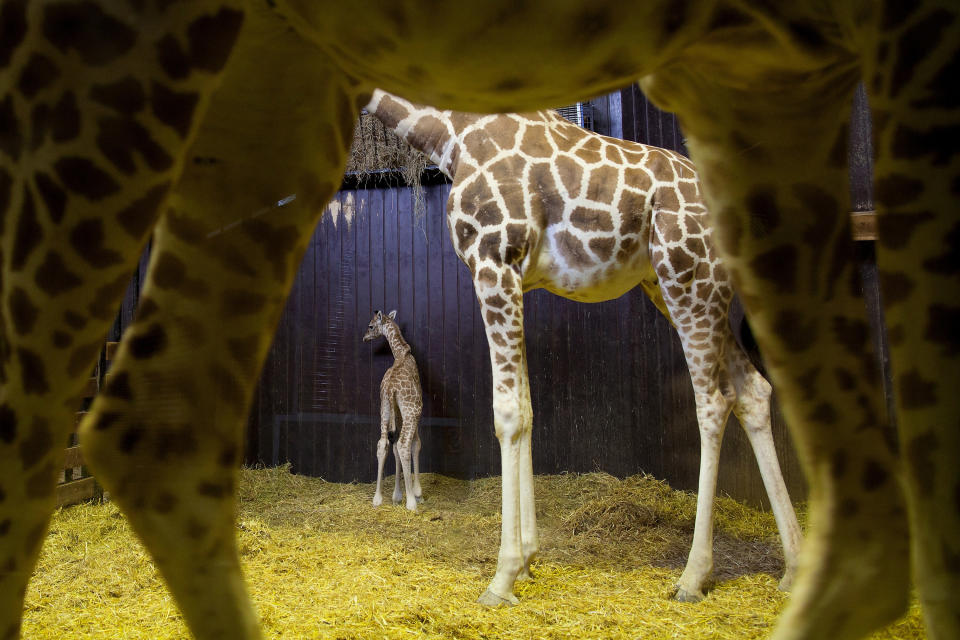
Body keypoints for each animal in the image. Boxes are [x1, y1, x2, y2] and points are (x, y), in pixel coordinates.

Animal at [364, 310, 424, 510]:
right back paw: (411, 502)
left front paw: (397, 495)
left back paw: (377, 498)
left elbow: (394, 447)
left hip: (384, 408)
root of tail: (391, 387)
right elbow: (415, 443)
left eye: (370, 326)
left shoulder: (396, 412)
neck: (402, 353)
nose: (364, 337)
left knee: (383, 443)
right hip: (412, 410)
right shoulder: (412, 410)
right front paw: (416, 491)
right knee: (404, 444)